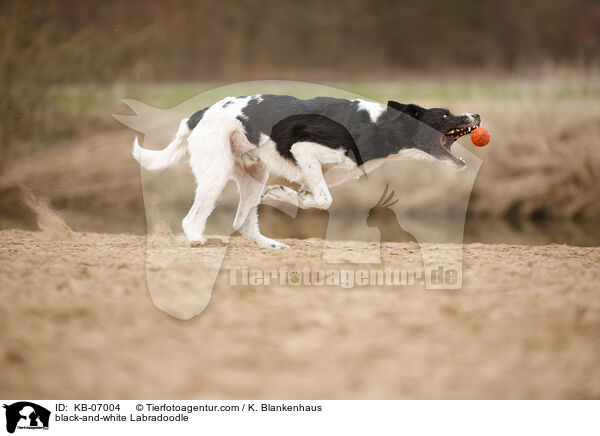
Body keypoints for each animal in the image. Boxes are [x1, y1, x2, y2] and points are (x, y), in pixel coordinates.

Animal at [134, 95, 480, 249]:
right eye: (444, 115)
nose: (476, 115)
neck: (376, 125)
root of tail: (198, 114)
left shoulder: (329, 171)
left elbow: (314, 194)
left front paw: (288, 195)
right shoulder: (305, 150)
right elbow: (324, 200)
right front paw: (286, 194)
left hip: (253, 175)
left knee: (241, 221)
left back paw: (268, 244)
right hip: (215, 175)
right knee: (192, 218)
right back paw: (196, 240)